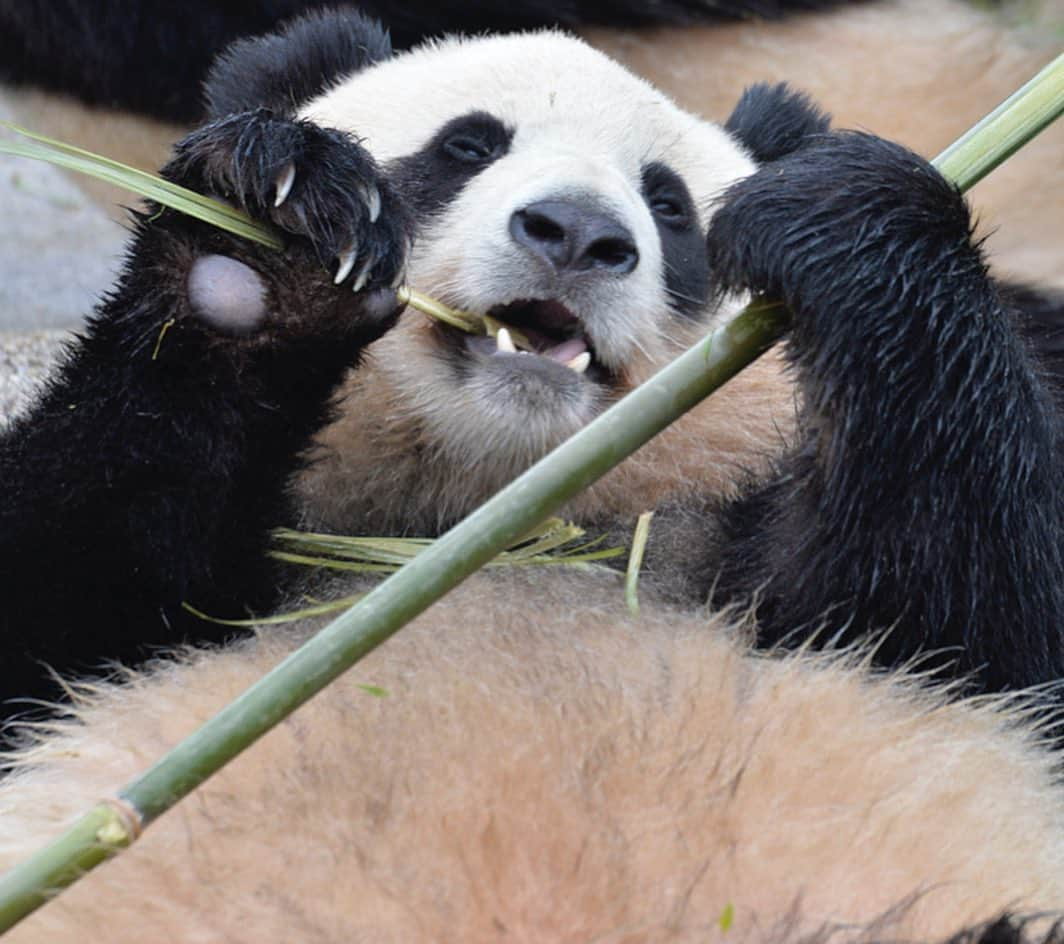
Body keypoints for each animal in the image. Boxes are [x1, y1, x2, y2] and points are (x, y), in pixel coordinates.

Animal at [0, 9, 1064, 944]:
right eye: (467, 147)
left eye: (670, 202)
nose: (577, 233)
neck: (489, 507)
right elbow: (70, 567)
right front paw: (269, 238)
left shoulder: (775, 557)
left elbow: (972, 613)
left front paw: (840, 213)